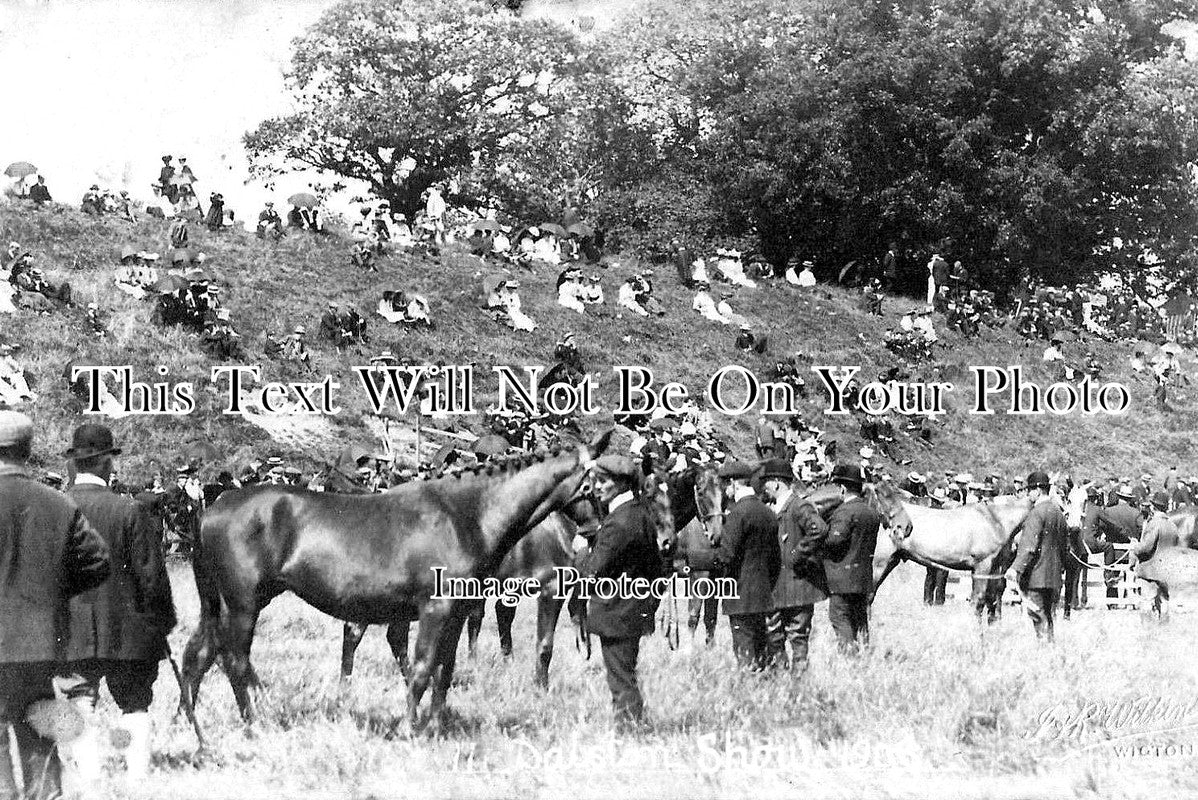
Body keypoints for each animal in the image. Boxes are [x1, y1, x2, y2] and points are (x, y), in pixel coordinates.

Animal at [182, 431, 613, 732]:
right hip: (243, 604)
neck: (467, 515)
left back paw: (188, 721)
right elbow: (422, 668)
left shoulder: (457, 614)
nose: (594, 533)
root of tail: (213, 508)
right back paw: (255, 721)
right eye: (599, 482)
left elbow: (445, 670)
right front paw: (410, 727)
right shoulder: (435, 609)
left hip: (220, 603)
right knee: (234, 660)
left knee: (198, 654)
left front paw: (435, 725)